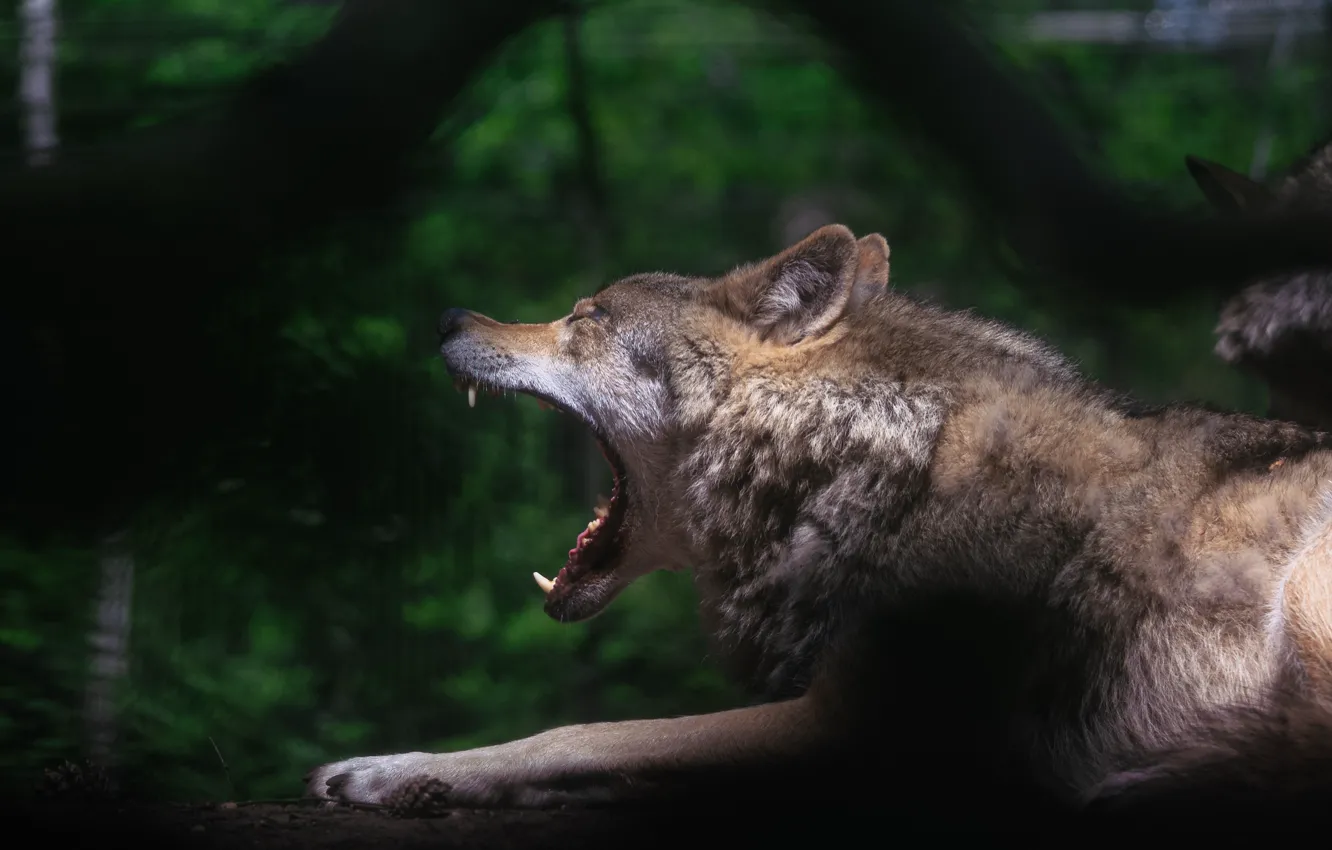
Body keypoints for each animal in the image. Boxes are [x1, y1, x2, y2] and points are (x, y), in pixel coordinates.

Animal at [306, 225, 1332, 826]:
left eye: (584, 319)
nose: (445, 316)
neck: (865, 453)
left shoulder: (845, 723)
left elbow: (577, 734)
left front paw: (391, 770)